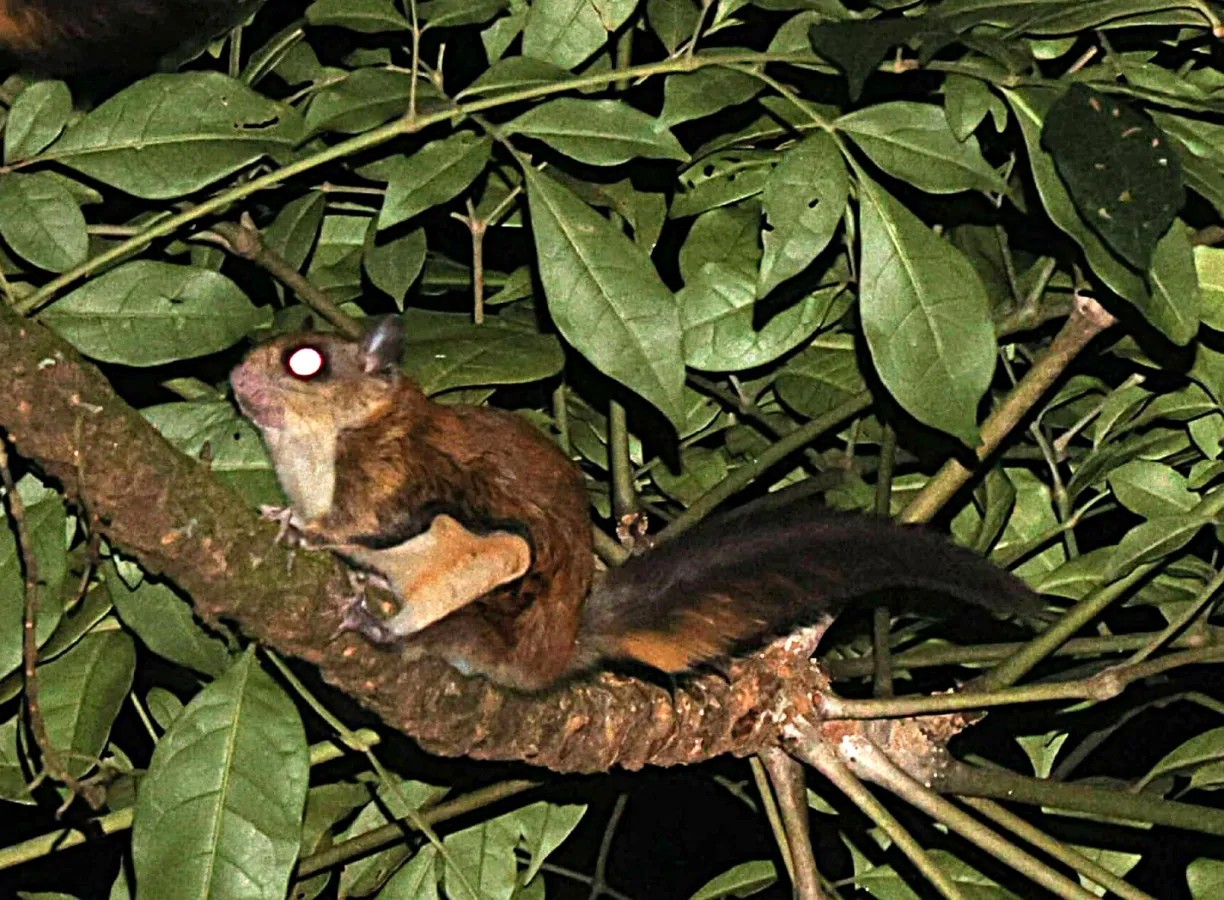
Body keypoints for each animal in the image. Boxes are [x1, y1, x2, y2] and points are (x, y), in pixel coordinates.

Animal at [230, 316, 1041, 692]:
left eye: (306, 361)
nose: (235, 378)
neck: (320, 449)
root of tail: (558, 650)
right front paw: (294, 523)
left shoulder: (398, 473)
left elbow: (384, 527)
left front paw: (307, 531)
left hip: (490, 610)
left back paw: (397, 631)